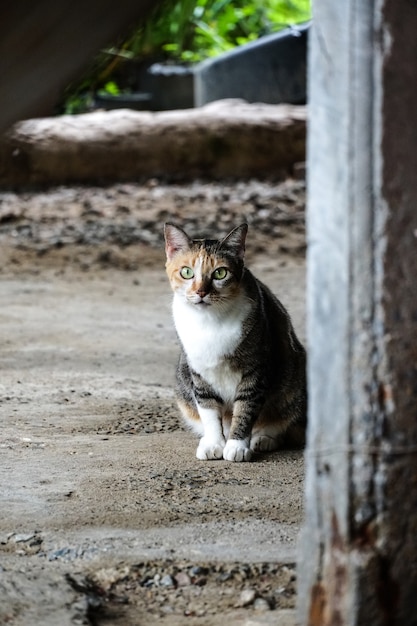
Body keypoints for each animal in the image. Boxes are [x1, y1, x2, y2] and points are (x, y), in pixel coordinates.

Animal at [163, 222, 306, 460]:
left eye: (220, 273)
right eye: (186, 272)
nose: (201, 292)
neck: (209, 321)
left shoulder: (255, 369)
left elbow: (245, 409)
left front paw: (237, 446)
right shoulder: (199, 372)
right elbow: (208, 409)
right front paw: (214, 443)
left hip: (293, 385)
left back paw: (262, 440)